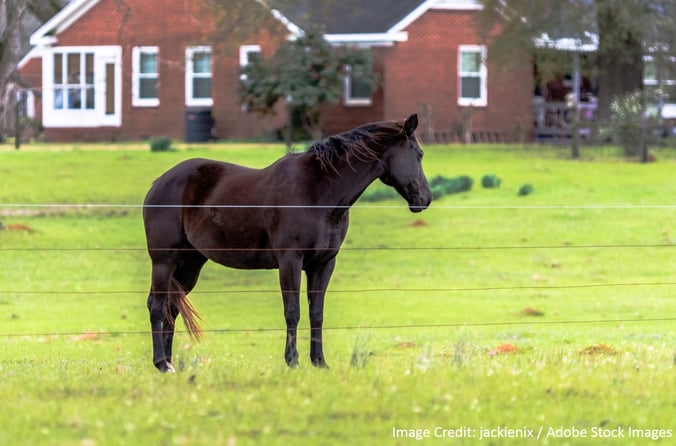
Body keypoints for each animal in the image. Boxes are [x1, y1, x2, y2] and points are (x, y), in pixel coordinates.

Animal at [143, 113, 430, 372]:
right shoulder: (290, 260)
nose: (425, 199)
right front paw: (292, 361)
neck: (318, 192)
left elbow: (316, 312)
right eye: (419, 154)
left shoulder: (323, 263)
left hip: (190, 263)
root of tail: (158, 183)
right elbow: (292, 311)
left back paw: (169, 363)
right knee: (156, 306)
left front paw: (319, 362)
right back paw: (161, 364)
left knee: (171, 308)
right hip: (164, 260)